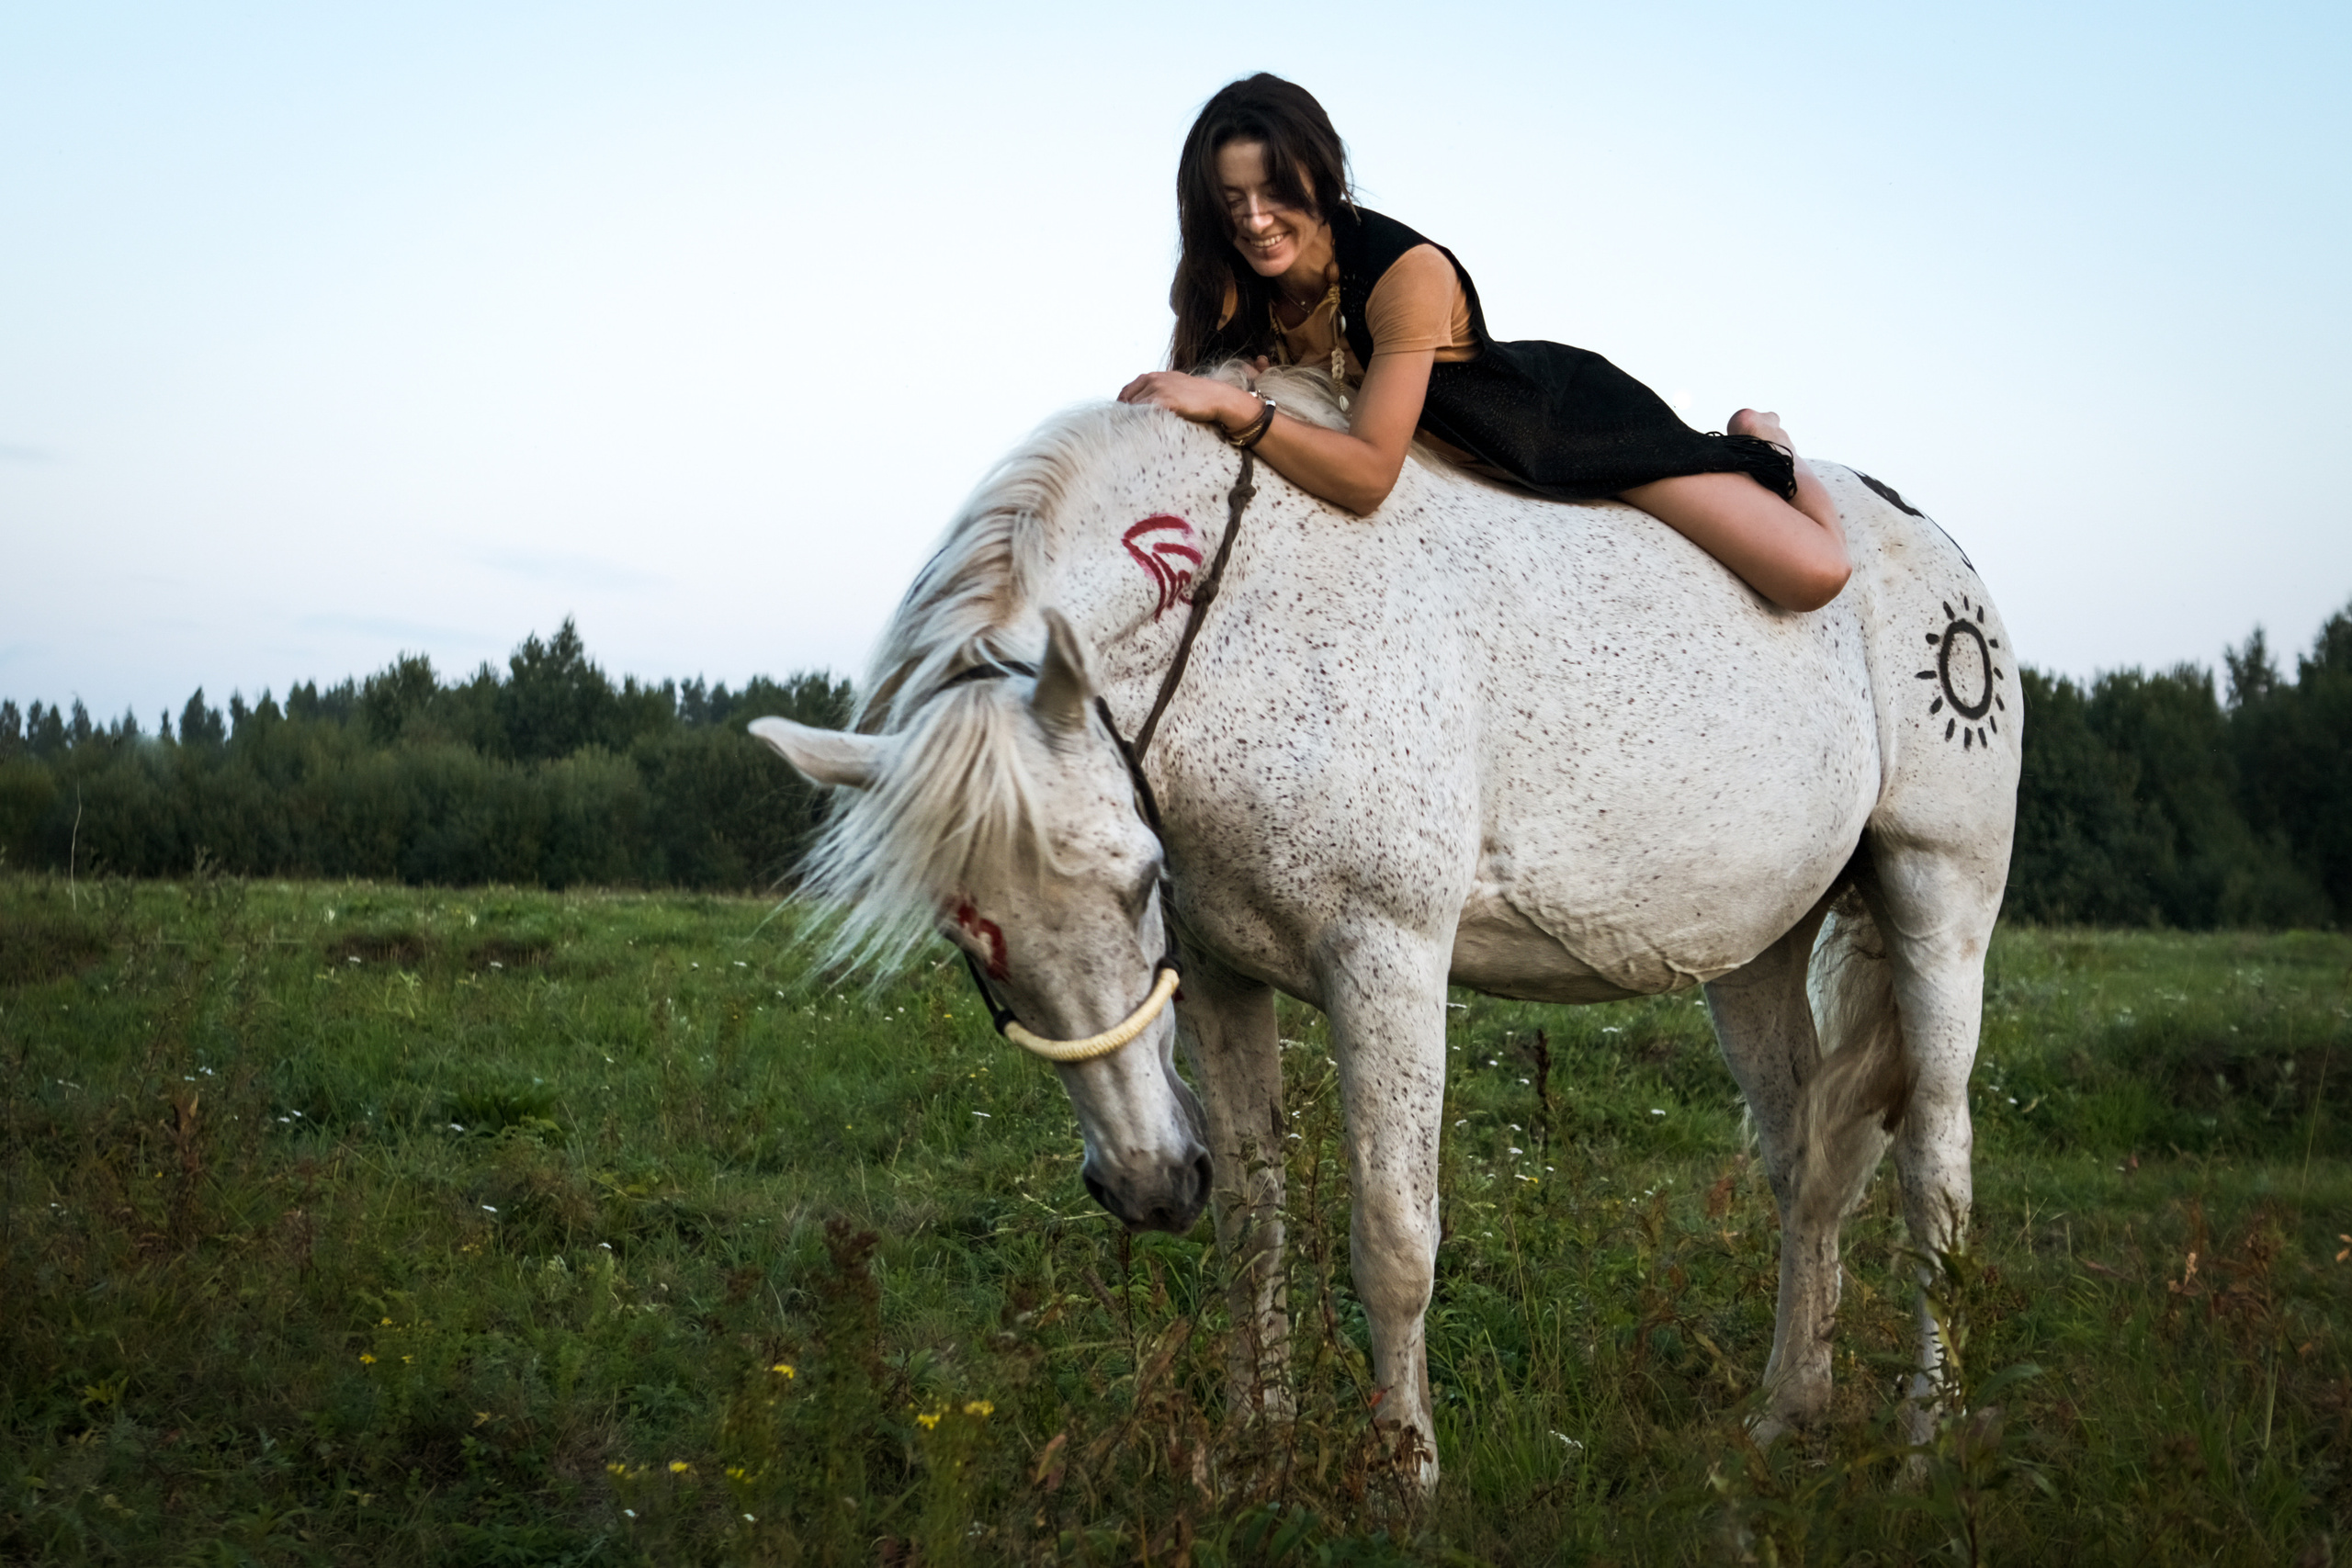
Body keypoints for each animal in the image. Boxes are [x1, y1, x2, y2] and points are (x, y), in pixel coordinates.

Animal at [751, 363, 2020, 1486]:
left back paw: (1925, 1442)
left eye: (1129, 879)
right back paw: (1783, 1419)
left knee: (1935, 1169)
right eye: (971, 938)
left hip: (1937, 900)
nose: (1147, 1188)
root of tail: (1943, 558)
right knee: (1809, 1164)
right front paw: (1256, 1446)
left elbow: (1394, 1242)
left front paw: (1405, 1478)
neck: (1241, 625)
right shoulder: (1216, 975)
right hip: (1752, 951)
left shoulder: (1388, 957)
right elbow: (1252, 1221)